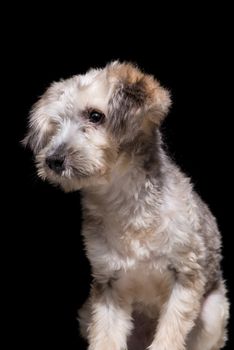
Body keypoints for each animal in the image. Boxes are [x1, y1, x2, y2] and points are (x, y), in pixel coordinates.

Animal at [23, 61, 229, 348]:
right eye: (55, 124)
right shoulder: (109, 284)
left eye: (95, 116)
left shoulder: (186, 278)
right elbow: (106, 338)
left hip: (213, 313)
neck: (124, 204)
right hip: (87, 312)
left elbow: (168, 337)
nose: (53, 160)